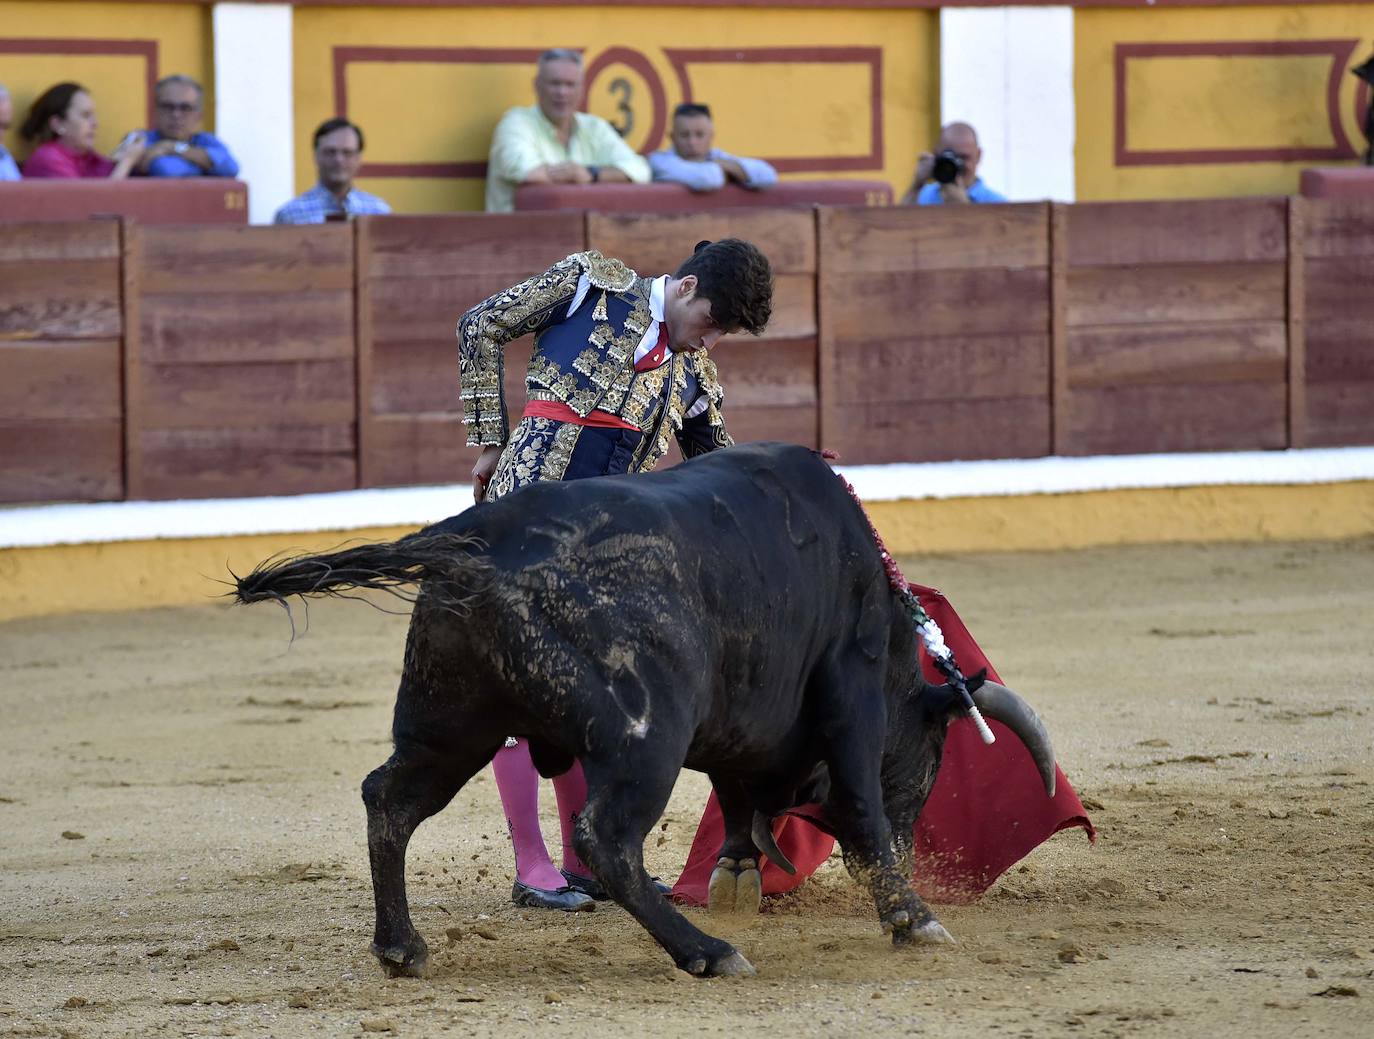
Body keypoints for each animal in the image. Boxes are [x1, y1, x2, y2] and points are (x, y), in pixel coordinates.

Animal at [236, 442, 1055, 978]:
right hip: (645, 737)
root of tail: (478, 537)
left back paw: (401, 947)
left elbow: (737, 796)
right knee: (605, 836)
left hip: (450, 722)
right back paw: (707, 952)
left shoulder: (736, 725)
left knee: (391, 799)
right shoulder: (850, 693)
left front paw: (737, 871)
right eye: (933, 757)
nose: (918, 852)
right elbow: (858, 804)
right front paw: (911, 915)